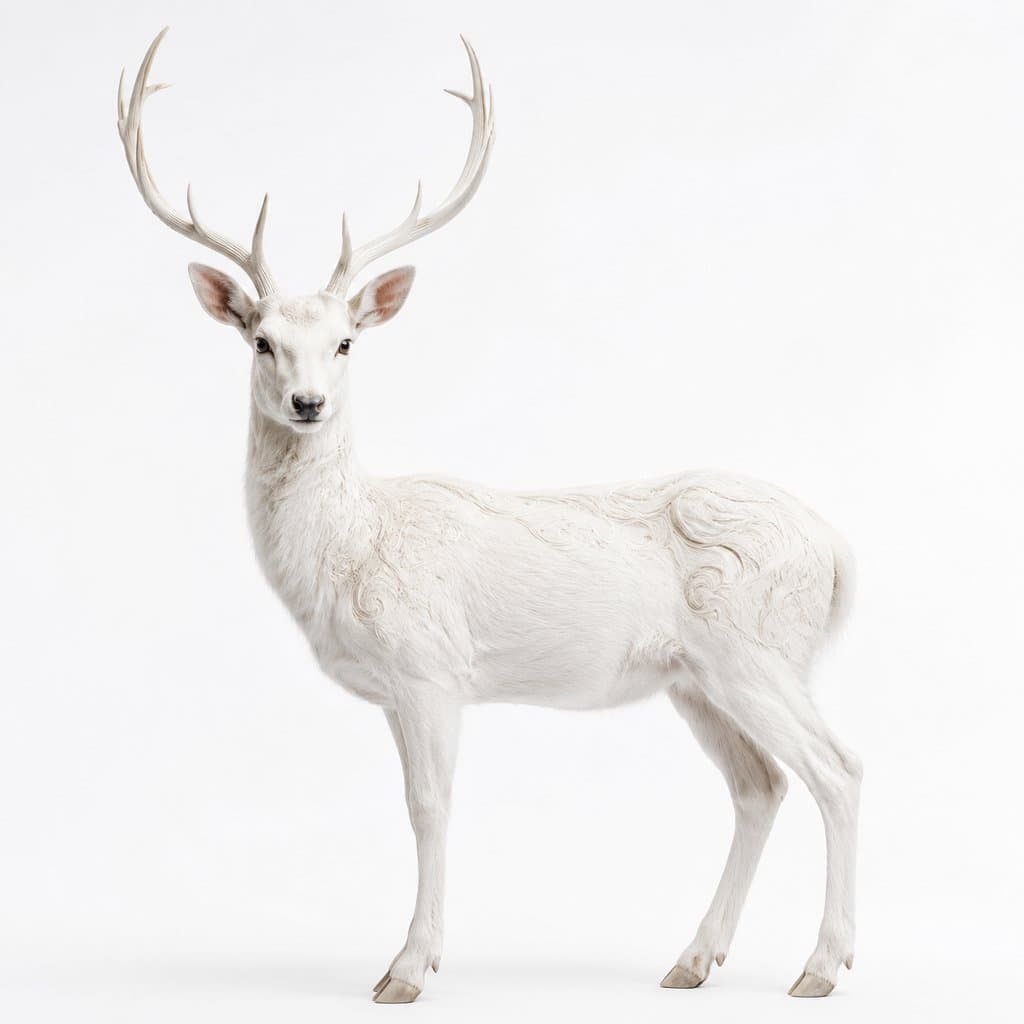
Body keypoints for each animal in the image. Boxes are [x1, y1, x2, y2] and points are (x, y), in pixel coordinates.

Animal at [117, 28, 861, 1005]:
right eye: (262, 340)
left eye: (345, 342)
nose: (309, 403)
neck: (350, 553)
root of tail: (841, 556)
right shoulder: (404, 684)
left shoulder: (431, 664)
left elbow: (429, 806)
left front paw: (407, 969)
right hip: (696, 678)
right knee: (760, 784)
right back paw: (695, 960)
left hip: (759, 648)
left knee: (837, 770)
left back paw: (822, 965)